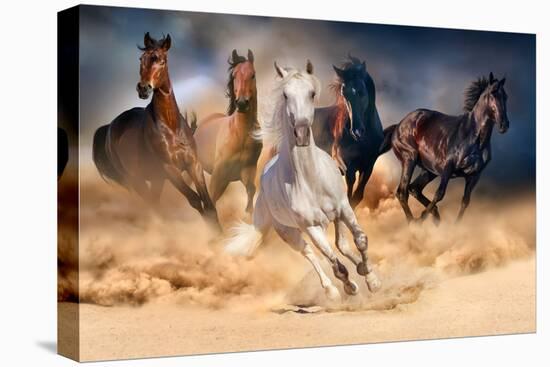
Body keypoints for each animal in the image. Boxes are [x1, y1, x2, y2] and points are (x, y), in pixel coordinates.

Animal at [92, 33, 220, 230]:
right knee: (151, 204)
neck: (172, 127)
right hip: (135, 180)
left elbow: (208, 204)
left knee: (154, 202)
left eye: (160, 60)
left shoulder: (193, 165)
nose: (143, 88)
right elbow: (195, 200)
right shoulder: (169, 169)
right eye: (141, 59)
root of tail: (109, 127)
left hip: (155, 180)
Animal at [194, 50, 264, 214]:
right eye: (234, 76)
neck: (241, 134)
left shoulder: (247, 171)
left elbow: (251, 193)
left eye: (252, 75)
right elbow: (211, 200)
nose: (242, 103)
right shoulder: (218, 174)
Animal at [312, 55, 386, 208]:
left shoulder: (368, 166)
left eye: (362, 91)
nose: (357, 131)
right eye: (344, 93)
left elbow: (357, 196)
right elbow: (349, 195)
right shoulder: (345, 164)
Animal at [382, 71, 512, 221]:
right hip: (409, 159)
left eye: (505, 96)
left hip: (429, 170)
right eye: (492, 94)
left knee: (414, 189)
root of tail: (398, 125)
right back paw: (414, 223)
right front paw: (422, 219)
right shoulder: (448, 168)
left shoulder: (474, 176)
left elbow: (465, 201)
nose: (504, 125)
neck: (474, 138)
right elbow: (439, 194)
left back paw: (434, 217)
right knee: (402, 192)